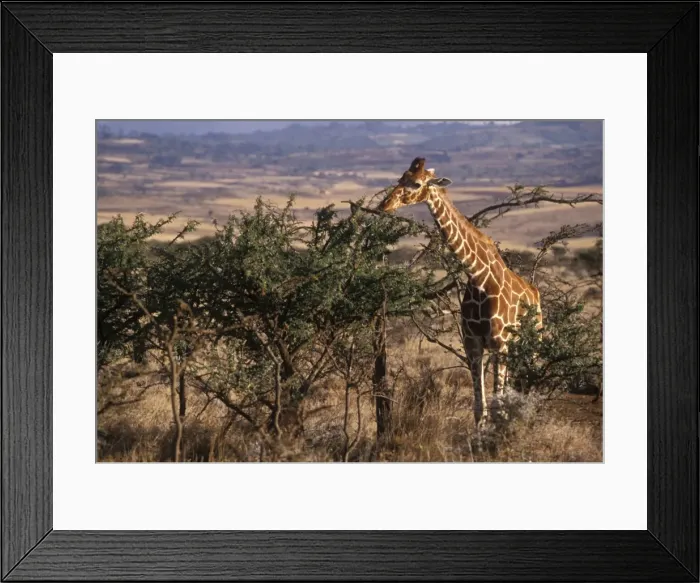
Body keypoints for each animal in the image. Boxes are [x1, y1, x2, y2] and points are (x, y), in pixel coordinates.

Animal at [379, 157, 543, 427]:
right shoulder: (472, 344)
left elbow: (495, 407)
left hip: (533, 342)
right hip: (514, 348)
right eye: (400, 178)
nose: (385, 205)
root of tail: (535, 293)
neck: (478, 277)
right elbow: (480, 408)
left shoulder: (499, 344)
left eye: (416, 184)